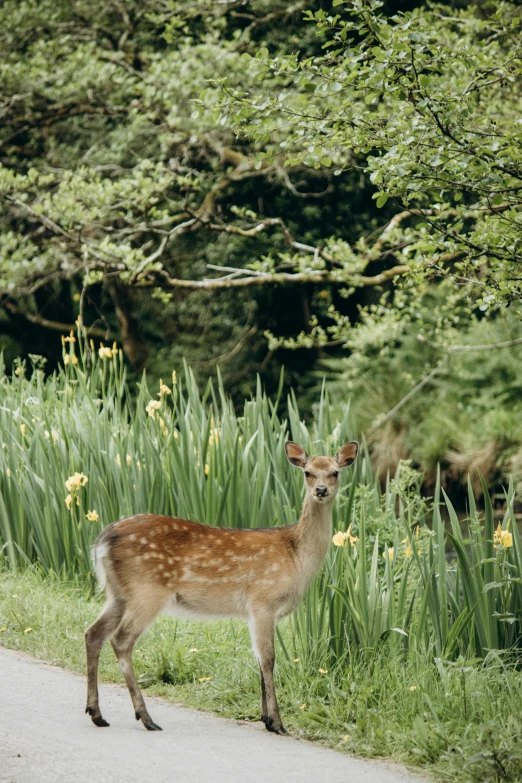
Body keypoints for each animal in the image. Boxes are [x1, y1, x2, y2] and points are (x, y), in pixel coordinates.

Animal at [84, 440, 358, 736]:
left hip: (119, 594)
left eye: (335, 472)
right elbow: (269, 659)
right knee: (121, 640)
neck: (296, 555)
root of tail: (101, 541)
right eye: (308, 472)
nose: (321, 490)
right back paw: (145, 717)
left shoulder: (254, 611)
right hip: (146, 591)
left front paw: (265, 718)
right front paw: (277, 722)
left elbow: (258, 659)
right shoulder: (263, 600)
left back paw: (97, 714)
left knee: (93, 633)